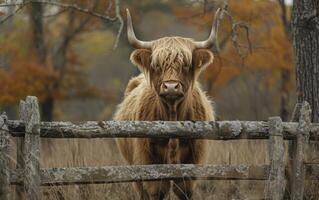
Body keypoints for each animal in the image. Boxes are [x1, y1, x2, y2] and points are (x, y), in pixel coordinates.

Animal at [114, 9, 221, 200]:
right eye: (157, 65)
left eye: (186, 64)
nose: (171, 87)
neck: (172, 116)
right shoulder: (148, 161)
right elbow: (157, 191)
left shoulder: (193, 161)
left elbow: (183, 191)